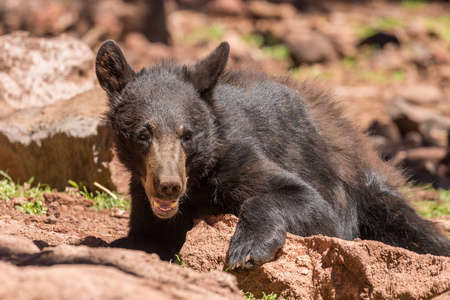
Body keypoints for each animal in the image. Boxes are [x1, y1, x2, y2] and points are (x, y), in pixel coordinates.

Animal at [96, 39, 450, 268]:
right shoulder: (142, 192)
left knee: (413, 228)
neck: (195, 182)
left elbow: (311, 205)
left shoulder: (238, 155)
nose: (169, 186)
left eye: (187, 135)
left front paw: (248, 248)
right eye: (143, 134)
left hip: (363, 186)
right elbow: (146, 234)